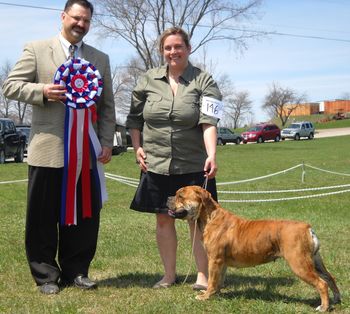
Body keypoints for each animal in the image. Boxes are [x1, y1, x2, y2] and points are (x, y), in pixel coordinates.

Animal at [170, 186, 342, 312]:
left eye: (181, 196)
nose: (168, 198)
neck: (210, 217)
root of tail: (307, 228)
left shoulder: (214, 260)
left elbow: (212, 280)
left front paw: (205, 296)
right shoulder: (221, 263)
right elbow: (218, 280)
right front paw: (215, 294)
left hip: (300, 264)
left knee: (322, 283)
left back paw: (323, 307)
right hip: (315, 261)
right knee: (330, 278)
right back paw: (336, 300)